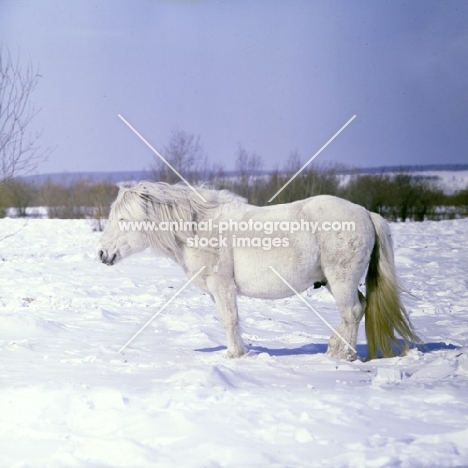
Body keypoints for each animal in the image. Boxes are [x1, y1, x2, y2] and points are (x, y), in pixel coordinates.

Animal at [97, 181, 418, 360]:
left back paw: (344, 356)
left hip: (341, 280)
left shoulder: (222, 285)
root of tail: (365, 212)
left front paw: (233, 356)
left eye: (123, 219)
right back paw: (334, 348)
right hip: (334, 281)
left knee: (351, 312)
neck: (198, 227)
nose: (101, 254)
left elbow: (229, 320)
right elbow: (229, 320)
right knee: (359, 308)